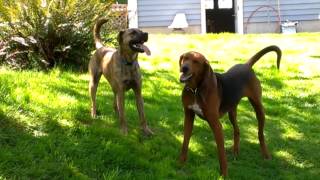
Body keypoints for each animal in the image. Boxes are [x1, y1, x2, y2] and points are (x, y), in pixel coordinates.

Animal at [179, 45, 282, 176]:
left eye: (196, 62)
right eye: (185, 58)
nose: (184, 68)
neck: (195, 90)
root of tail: (246, 65)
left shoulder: (216, 124)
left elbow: (221, 153)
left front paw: (224, 174)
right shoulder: (188, 116)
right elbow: (185, 142)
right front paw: (181, 163)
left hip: (258, 108)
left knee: (260, 134)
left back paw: (266, 155)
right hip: (232, 112)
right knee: (237, 130)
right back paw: (235, 152)